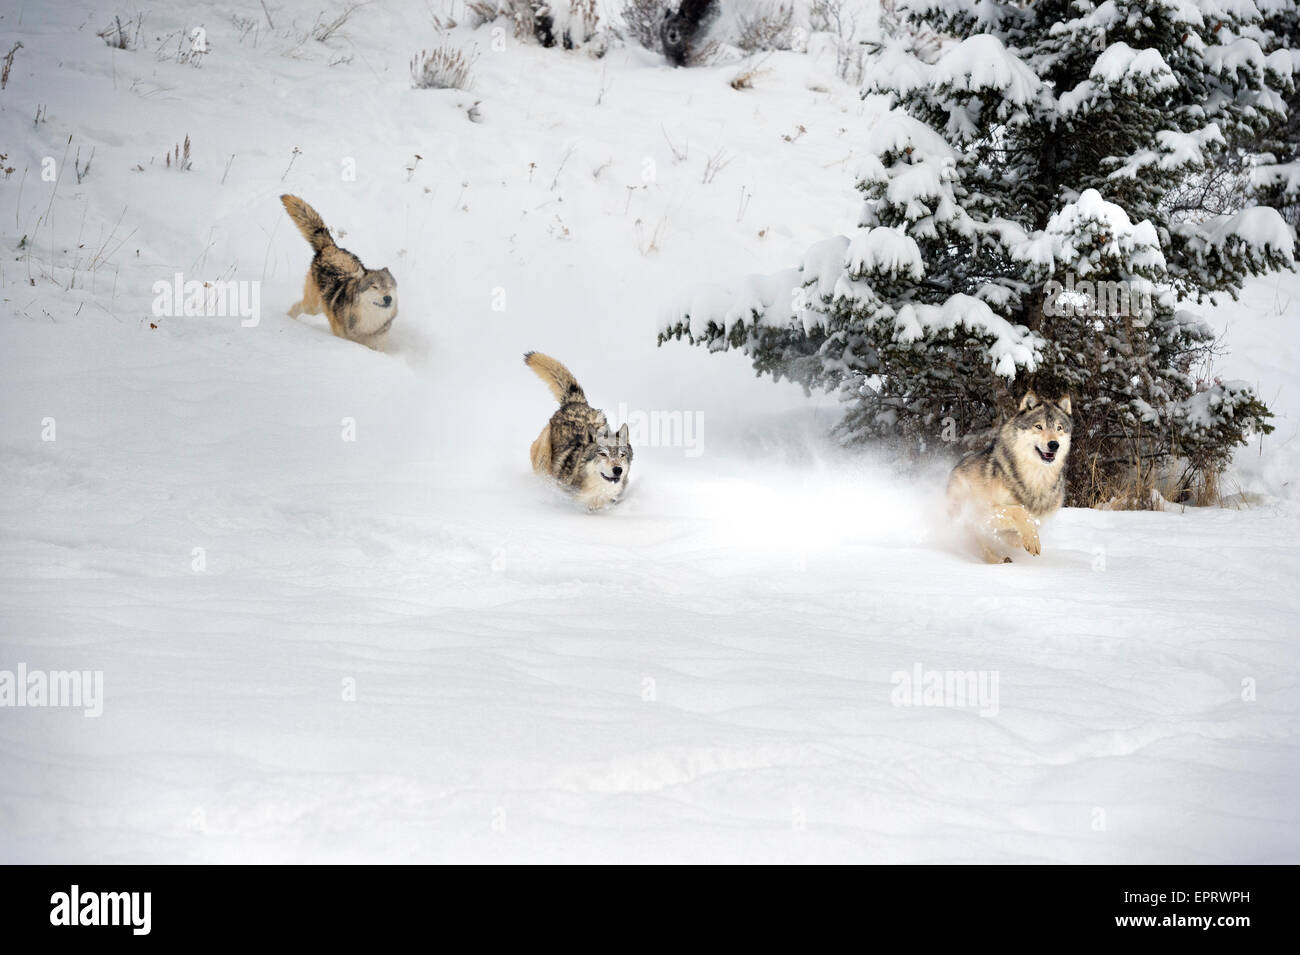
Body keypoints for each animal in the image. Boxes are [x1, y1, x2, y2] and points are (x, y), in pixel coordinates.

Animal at [280, 195, 397, 349]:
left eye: (389, 287)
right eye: (375, 287)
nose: (388, 298)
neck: (367, 326)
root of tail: (330, 247)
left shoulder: (377, 345)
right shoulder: (342, 336)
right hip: (313, 307)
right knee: (298, 305)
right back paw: (288, 319)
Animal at [524, 352, 632, 510]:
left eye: (622, 455)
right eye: (602, 454)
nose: (618, 469)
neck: (595, 495)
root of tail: (576, 402)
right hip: (542, 460)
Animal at [946, 392, 1073, 563]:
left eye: (1059, 428)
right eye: (1038, 426)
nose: (1054, 444)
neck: (1035, 479)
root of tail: (956, 466)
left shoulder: (1041, 517)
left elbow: (1017, 533)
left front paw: (1020, 539)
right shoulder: (983, 509)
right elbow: (1019, 511)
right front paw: (1032, 540)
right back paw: (998, 560)